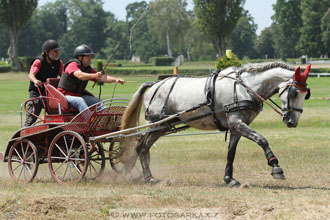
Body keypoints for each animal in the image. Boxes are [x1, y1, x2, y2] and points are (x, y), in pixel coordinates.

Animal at [120, 62, 310, 187]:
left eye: (306, 94)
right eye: (294, 92)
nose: (292, 121)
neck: (244, 88)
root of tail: (154, 85)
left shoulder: (236, 127)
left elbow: (231, 153)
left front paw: (229, 179)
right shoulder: (237, 123)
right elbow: (262, 140)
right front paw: (276, 167)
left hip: (163, 126)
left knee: (143, 147)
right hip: (155, 124)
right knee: (141, 147)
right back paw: (148, 177)